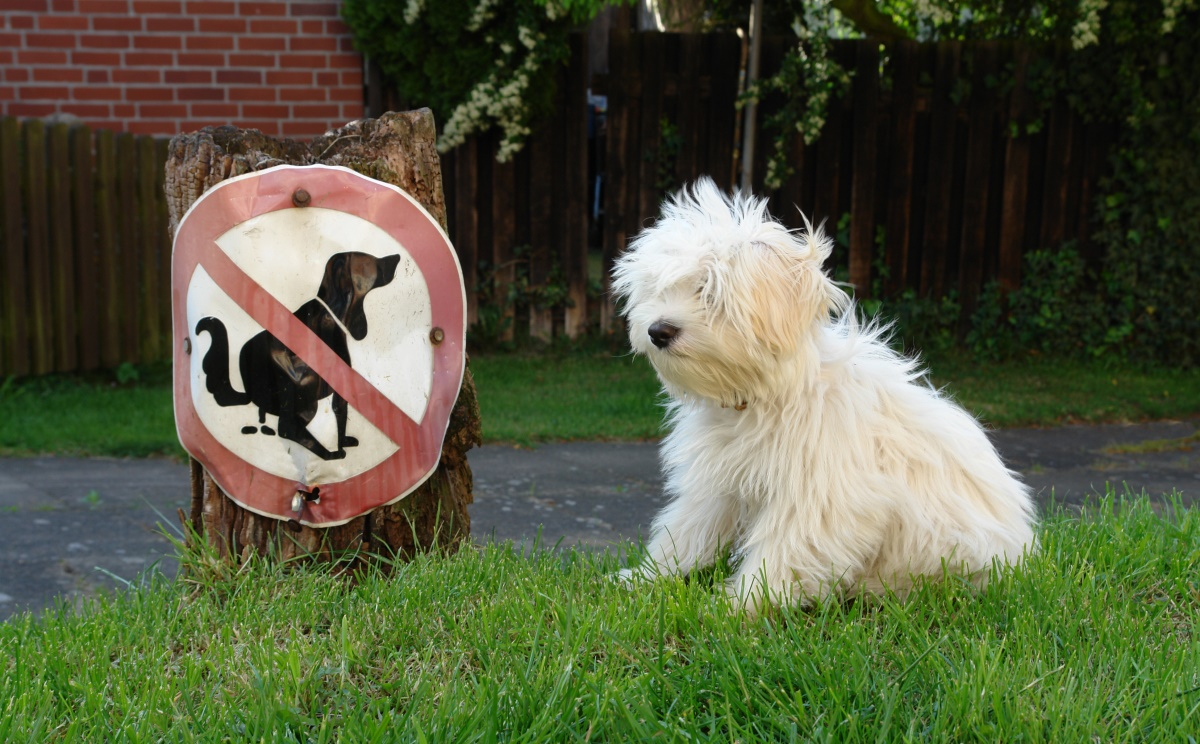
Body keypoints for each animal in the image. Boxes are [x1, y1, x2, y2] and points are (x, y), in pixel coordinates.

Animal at [614, 180, 1036, 609]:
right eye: (659, 289)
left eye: (708, 289)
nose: (658, 331)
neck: (768, 394)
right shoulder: (719, 485)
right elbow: (686, 531)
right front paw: (645, 579)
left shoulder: (819, 496)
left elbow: (783, 552)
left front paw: (738, 605)